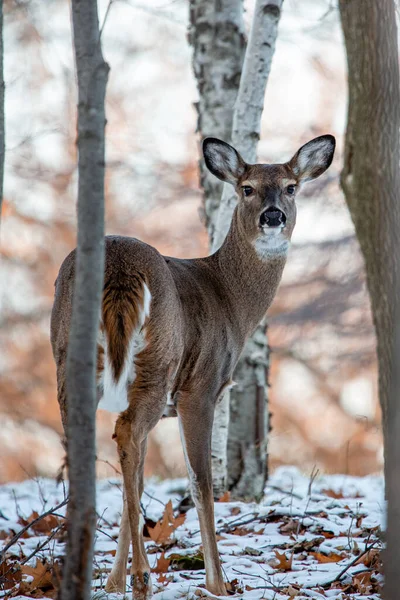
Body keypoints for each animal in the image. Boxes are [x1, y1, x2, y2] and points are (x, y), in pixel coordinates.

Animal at [51, 134, 336, 596]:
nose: (273, 216)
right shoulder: (200, 388)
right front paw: (218, 581)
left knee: (91, 445)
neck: (230, 300)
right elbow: (201, 483)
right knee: (127, 431)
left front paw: (112, 580)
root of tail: (119, 267)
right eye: (247, 188)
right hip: (160, 363)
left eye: (291, 187)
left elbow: (137, 479)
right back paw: (144, 578)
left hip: (69, 358)